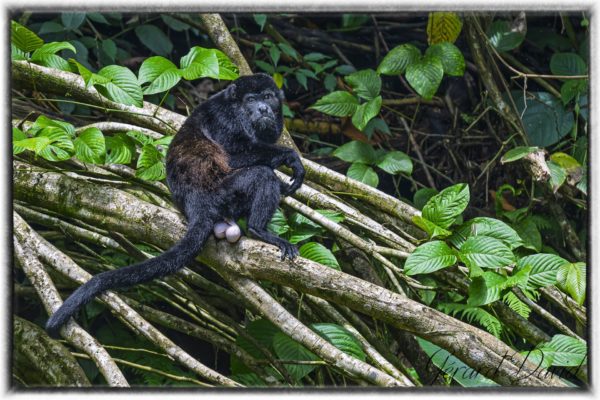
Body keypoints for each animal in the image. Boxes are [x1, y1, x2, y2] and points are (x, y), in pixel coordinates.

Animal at [45, 73, 305, 337]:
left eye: (268, 97)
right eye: (251, 100)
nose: (263, 108)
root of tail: (196, 202)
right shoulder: (226, 120)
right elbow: (234, 157)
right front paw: (290, 157)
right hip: (225, 192)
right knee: (261, 175)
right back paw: (260, 230)